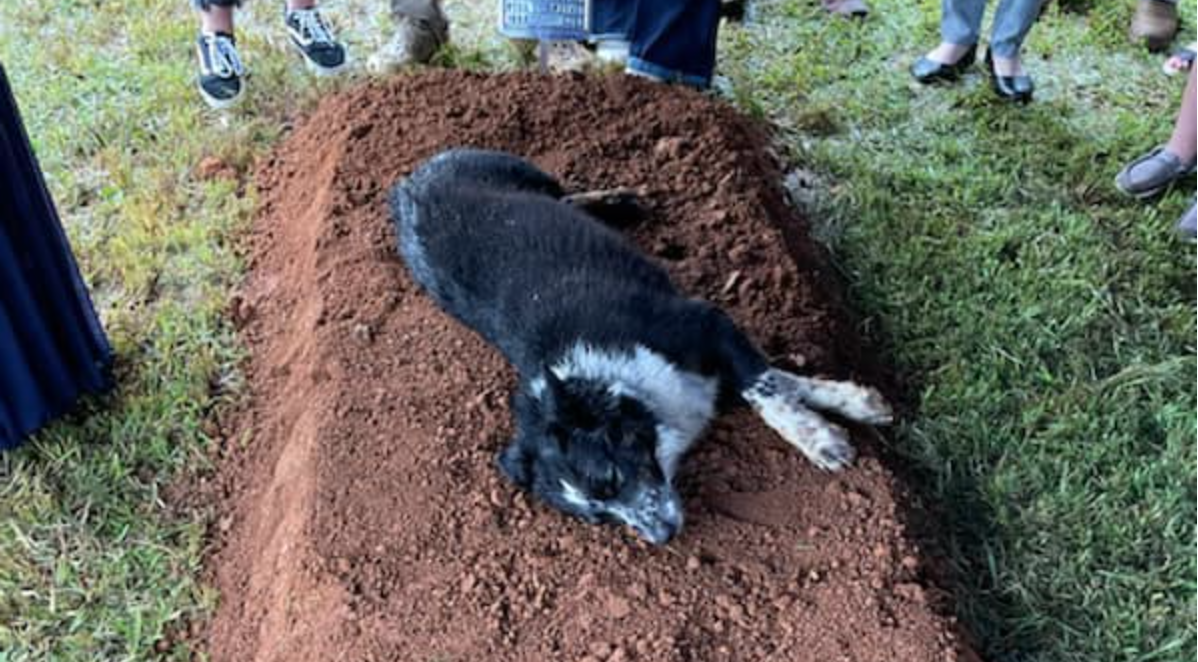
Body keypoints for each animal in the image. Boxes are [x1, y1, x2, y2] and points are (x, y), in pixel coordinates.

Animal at [388, 148, 896, 541]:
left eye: (609, 477)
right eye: (599, 517)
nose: (661, 537)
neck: (616, 386)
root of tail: (408, 182)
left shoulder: (705, 323)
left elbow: (767, 388)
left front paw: (823, 437)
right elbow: (778, 380)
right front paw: (854, 405)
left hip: (520, 169)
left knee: (562, 191)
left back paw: (620, 200)